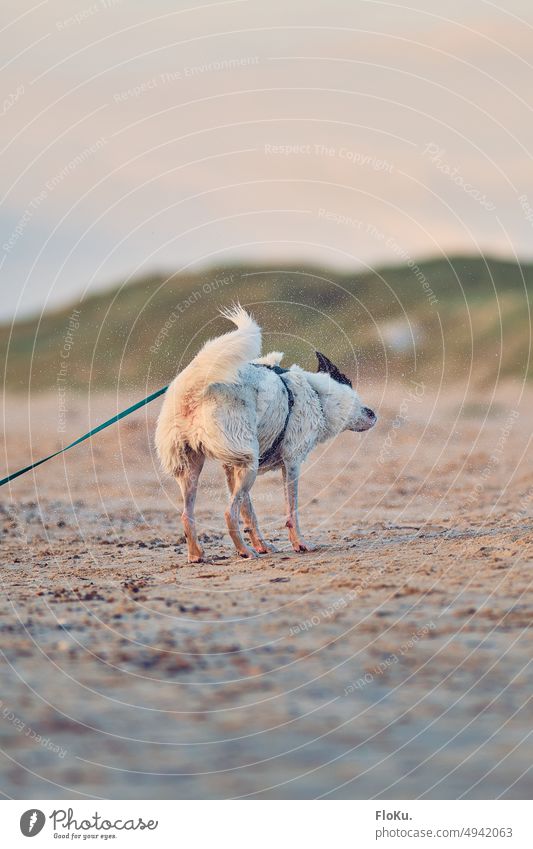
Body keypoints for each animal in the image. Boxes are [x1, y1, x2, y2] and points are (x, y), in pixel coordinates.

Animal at [156, 304, 376, 564]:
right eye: (350, 383)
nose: (373, 413)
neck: (316, 394)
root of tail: (192, 391)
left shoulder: (231, 466)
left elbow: (249, 513)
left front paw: (263, 545)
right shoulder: (292, 463)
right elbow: (291, 511)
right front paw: (299, 543)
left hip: (194, 467)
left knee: (187, 514)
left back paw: (197, 554)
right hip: (248, 466)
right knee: (228, 513)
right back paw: (244, 551)